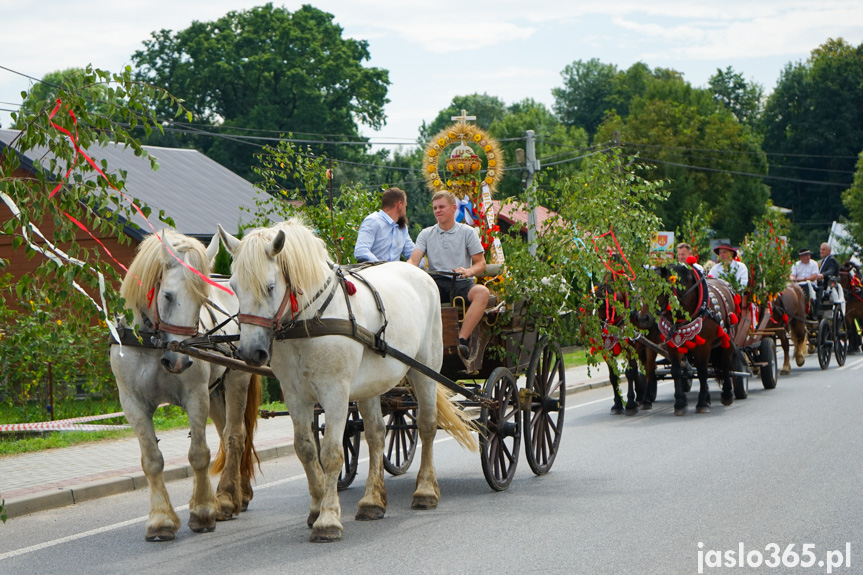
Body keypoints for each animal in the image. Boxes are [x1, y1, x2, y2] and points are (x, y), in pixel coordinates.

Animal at [111, 232, 262, 544]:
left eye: (202, 299)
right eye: (167, 295)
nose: (179, 360)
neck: (154, 345)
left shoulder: (196, 396)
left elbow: (199, 454)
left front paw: (203, 511)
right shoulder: (132, 404)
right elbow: (151, 460)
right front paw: (160, 520)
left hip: (236, 379)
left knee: (235, 436)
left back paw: (226, 498)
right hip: (216, 392)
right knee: (225, 433)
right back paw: (238, 494)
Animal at [216, 218, 472, 544]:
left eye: (270, 287)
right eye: (234, 287)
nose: (251, 352)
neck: (309, 320)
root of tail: (422, 273)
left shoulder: (335, 393)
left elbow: (331, 453)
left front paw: (327, 520)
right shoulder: (295, 395)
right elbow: (306, 449)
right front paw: (316, 509)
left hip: (425, 369)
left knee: (427, 425)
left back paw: (425, 491)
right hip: (371, 384)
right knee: (376, 434)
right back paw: (372, 502)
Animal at [656, 264, 736, 416]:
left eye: (659, 288)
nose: (642, 317)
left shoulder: (704, 346)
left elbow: (702, 372)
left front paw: (703, 403)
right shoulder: (672, 346)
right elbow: (676, 371)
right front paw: (680, 404)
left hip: (727, 338)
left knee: (725, 363)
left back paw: (727, 394)